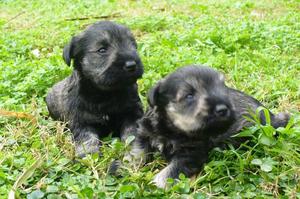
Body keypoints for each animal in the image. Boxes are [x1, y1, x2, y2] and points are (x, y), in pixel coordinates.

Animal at [46, 20, 144, 157]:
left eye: (133, 46)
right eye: (102, 50)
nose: (131, 65)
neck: (105, 94)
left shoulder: (132, 112)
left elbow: (132, 132)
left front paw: (134, 151)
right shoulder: (81, 121)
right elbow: (87, 138)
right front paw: (89, 155)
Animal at [129, 65, 290, 188]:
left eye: (223, 88)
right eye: (189, 95)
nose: (223, 109)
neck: (170, 129)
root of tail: (271, 116)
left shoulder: (189, 155)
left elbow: (169, 172)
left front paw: (155, 183)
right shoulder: (143, 132)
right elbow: (138, 151)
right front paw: (130, 166)